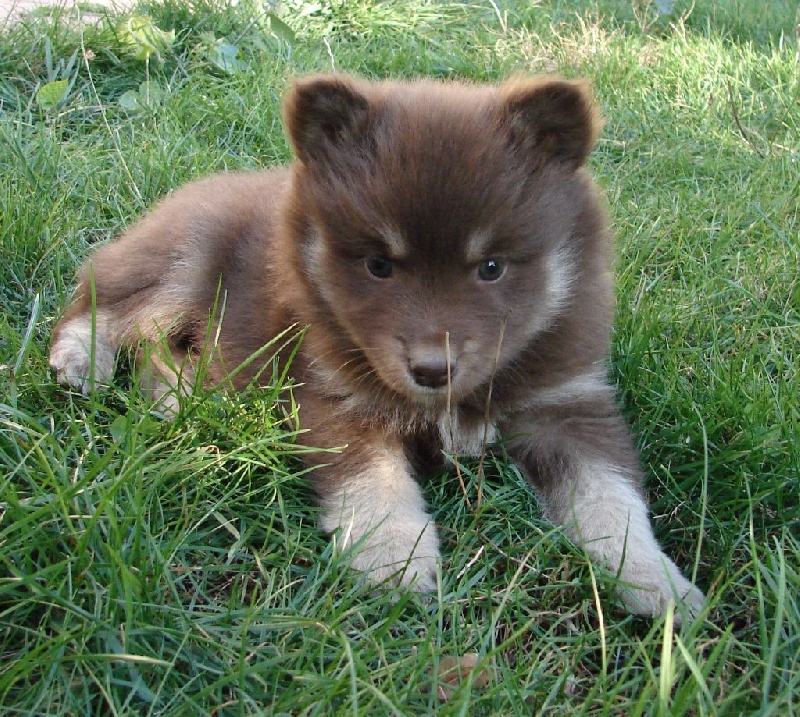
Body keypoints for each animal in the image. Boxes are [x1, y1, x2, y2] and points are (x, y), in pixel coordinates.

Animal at [50, 74, 705, 620]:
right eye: (379, 266)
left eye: (492, 267)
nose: (432, 370)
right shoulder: (338, 398)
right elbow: (374, 486)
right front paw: (397, 562)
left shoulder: (568, 403)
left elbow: (611, 500)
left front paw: (658, 584)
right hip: (188, 258)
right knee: (100, 297)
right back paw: (80, 360)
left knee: (161, 352)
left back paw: (176, 400)